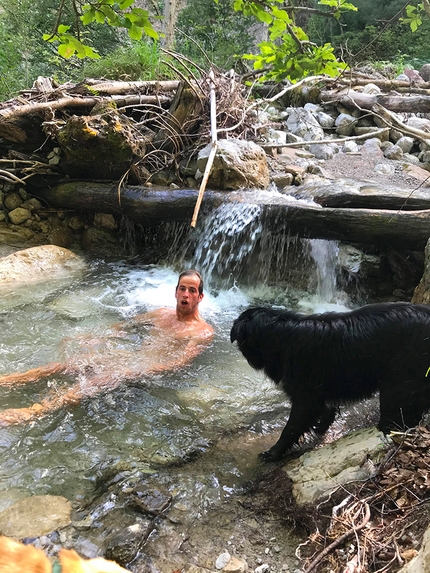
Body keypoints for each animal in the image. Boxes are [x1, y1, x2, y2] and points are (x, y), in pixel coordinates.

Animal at [232, 304, 430, 460]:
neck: (282, 339)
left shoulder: (306, 397)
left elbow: (291, 428)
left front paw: (273, 453)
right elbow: (327, 411)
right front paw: (320, 428)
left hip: (397, 383)